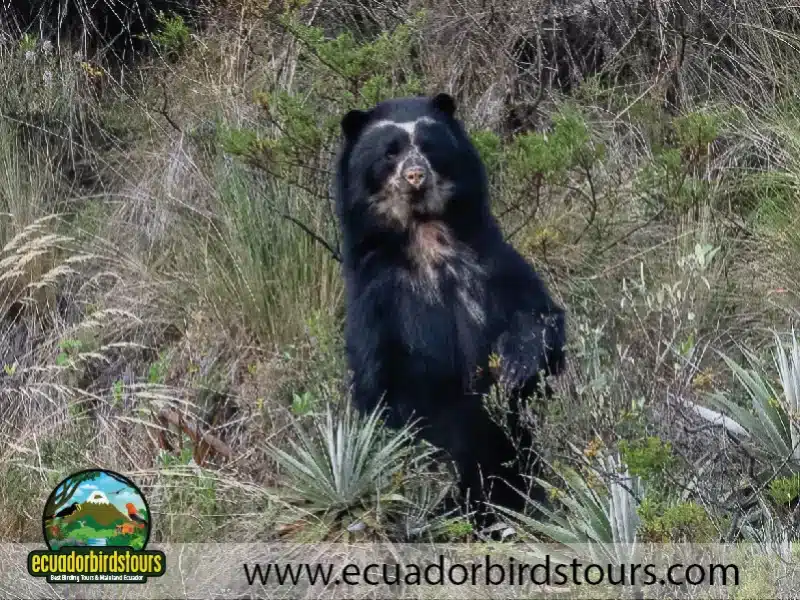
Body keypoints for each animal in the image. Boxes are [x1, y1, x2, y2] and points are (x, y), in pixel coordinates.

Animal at [333, 93, 566, 518]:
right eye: (389, 152)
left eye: (428, 145)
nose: (415, 175)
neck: (426, 235)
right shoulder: (377, 298)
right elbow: (386, 381)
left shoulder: (491, 262)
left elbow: (540, 318)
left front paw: (514, 366)